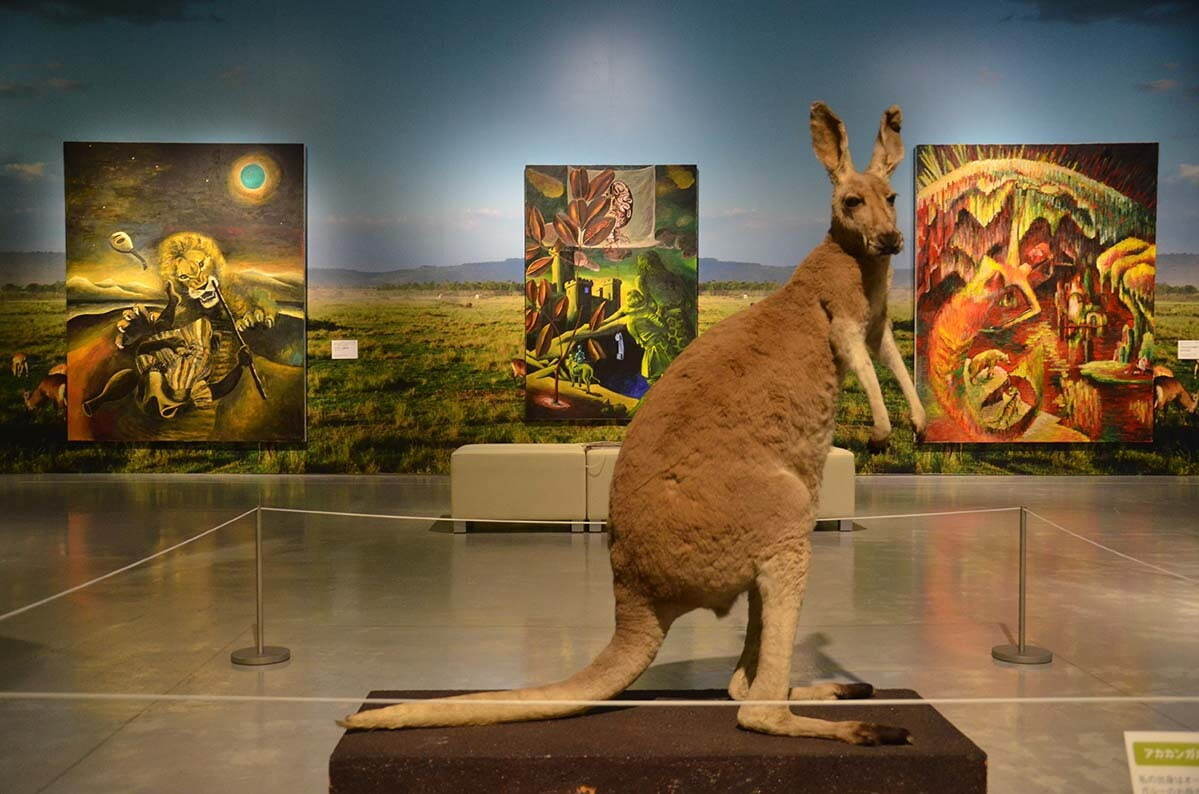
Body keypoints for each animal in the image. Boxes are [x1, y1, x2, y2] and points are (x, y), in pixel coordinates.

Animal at [342, 104, 920, 748]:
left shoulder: (877, 325)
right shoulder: (841, 319)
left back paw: (840, 690)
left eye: (894, 197)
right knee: (753, 709)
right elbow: (864, 364)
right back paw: (862, 727)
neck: (852, 261)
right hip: (783, 519)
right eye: (850, 201)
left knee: (738, 688)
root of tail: (639, 600)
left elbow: (892, 361)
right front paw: (882, 430)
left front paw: (916, 420)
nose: (893, 240)